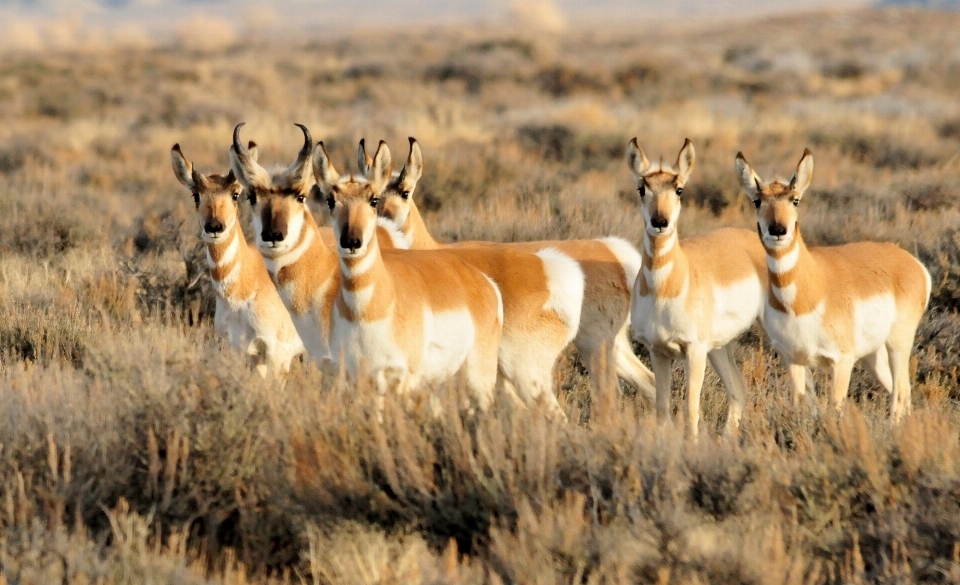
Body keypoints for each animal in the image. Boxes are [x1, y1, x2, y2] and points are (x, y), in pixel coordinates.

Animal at [364, 137, 656, 404]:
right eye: (373, 195)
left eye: (405, 192)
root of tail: (611, 249)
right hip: (613, 347)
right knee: (649, 381)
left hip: (594, 344)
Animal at [632, 138, 764, 438]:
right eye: (642, 188)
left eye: (679, 189)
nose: (660, 222)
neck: (665, 288)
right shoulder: (658, 352)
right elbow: (662, 409)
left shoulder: (693, 352)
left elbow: (691, 409)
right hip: (719, 348)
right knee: (738, 389)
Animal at [736, 147, 928, 420]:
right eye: (757, 201)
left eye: (795, 200)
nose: (778, 230)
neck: (806, 296)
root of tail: (910, 261)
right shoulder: (794, 360)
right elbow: (800, 402)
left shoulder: (842, 363)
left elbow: (835, 407)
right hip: (873, 354)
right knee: (901, 389)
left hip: (898, 344)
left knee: (900, 392)